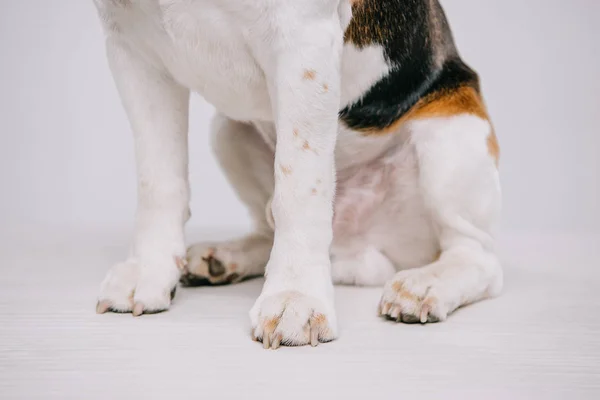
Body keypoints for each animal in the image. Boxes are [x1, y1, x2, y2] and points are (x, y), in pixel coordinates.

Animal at [94, 0, 502, 348]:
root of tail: (359, 247)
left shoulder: (301, 42)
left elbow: (298, 188)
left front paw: (295, 296)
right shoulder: (131, 46)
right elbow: (158, 181)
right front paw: (148, 270)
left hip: (452, 134)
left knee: (477, 255)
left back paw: (424, 285)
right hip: (227, 130)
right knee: (265, 227)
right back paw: (225, 258)